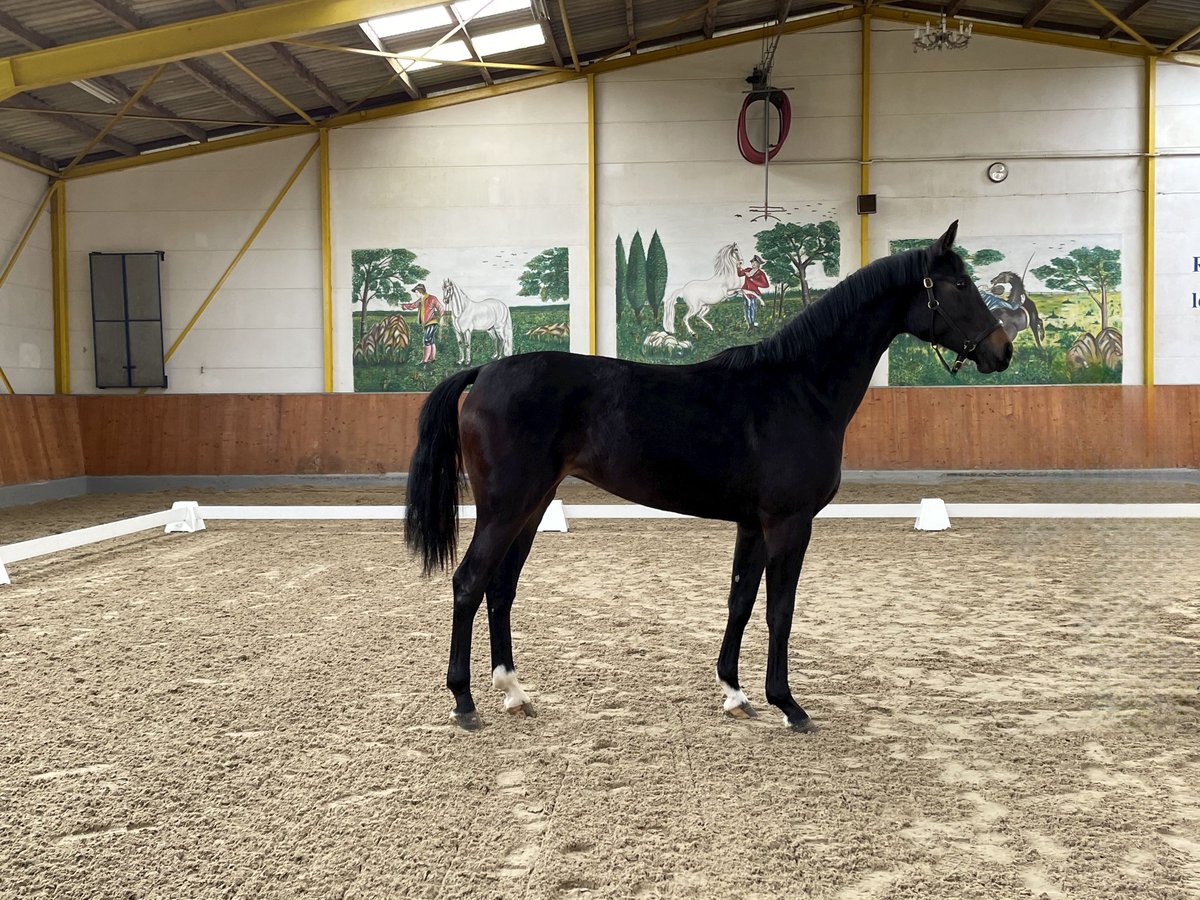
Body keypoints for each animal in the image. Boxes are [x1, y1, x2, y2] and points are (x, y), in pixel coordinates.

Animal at [405, 224, 1012, 734]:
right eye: (959, 284)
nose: (1002, 350)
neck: (798, 387)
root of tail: (484, 371)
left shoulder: (752, 525)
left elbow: (740, 600)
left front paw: (735, 693)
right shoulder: (789, 523)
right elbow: (779, 610)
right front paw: (788, 705)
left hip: (531, 508)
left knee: (500, 588)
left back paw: (514, 692)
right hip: (507, 508)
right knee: (469, 583)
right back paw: (464, 702)